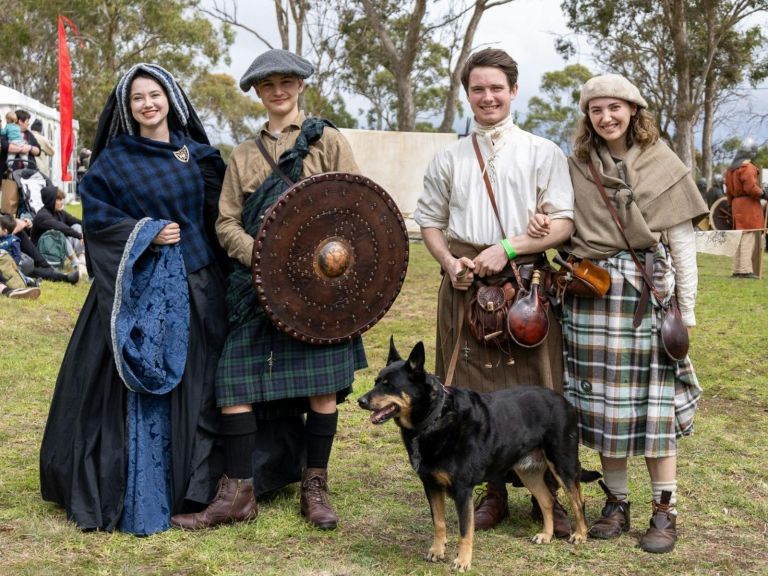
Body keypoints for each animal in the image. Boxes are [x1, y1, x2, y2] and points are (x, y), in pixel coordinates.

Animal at [356, 340, 596, 568]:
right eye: (376, 381)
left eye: (389, 385)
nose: (360, 401)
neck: (435, 419)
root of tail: (565, 401)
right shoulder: (431, 485)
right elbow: (439, 523)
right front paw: (437, 551)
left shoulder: (463, 490)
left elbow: (465, 530)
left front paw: (463, 561)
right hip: (529, 471)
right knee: (546, 500)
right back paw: (546, 535)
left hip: (562, 464)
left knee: (577, 500)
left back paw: (580, 535)